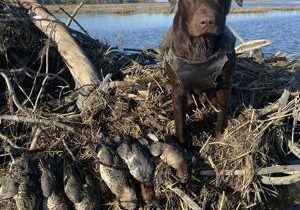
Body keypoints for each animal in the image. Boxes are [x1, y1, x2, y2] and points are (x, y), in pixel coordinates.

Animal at [161, 0, 243, 148]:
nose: (207, 22)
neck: (202, 44)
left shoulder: (225, 83)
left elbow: (222, 113)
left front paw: (219, 135)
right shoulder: (177, 87)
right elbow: (179, 120)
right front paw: (182, 143)